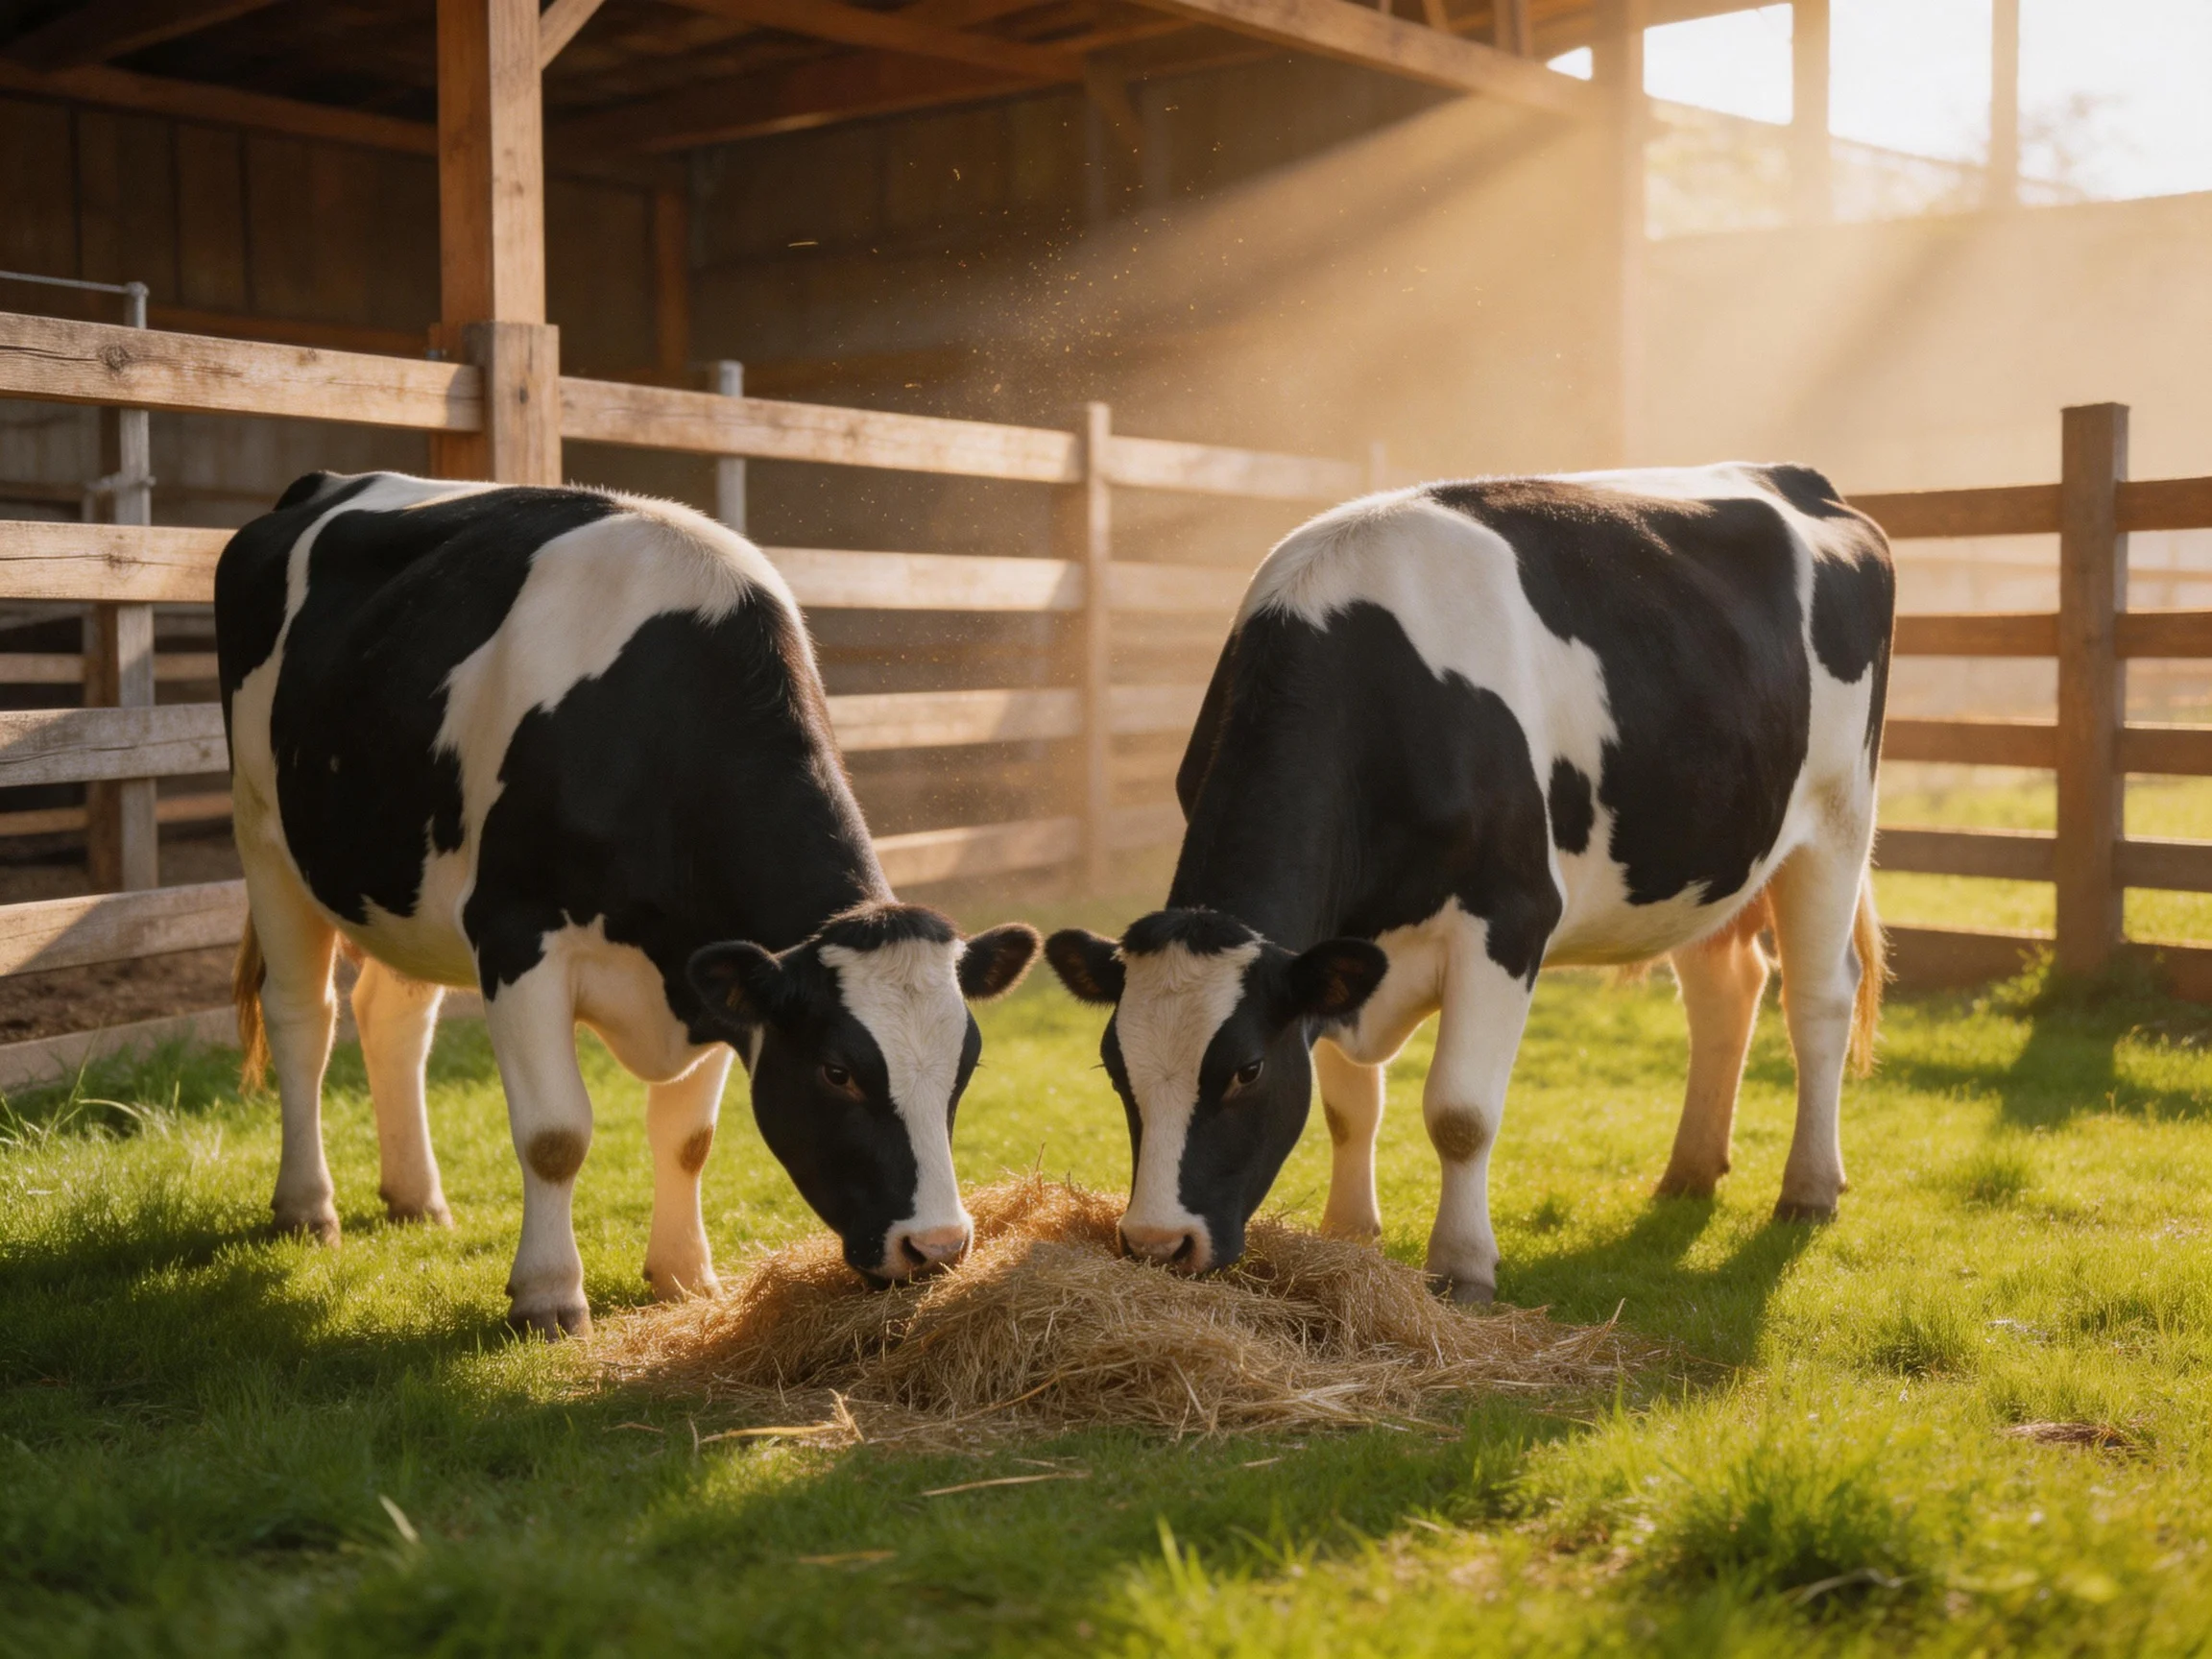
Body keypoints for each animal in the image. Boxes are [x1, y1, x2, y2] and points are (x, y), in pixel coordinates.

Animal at [216, 472, 1039, 1336]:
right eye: (837, 1071)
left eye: (966, 1065)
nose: (938, 1247)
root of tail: (330, 484)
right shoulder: (517, 936)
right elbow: (555, 1134)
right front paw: (548, 1296)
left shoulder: (707, 974)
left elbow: (689, 1138)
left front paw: (683, 1276)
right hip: (263, 833)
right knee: (303, 1018)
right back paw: (307, 1208)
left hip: (403, 878)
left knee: (392, 1020)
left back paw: (417, 1198)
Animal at [1044, 465, 1892, 1303]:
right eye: (1114, 1065)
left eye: (1246, 1069)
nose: (1158, 1243)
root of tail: (1794, 479)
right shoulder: (1338, 953)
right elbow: (1350, 1108)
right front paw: (1346, 1234)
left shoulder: (1508, 918)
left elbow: (1459, 1113)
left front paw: (1461, 1267)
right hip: (1705, 853)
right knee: (1726, 989)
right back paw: (1689, 1171)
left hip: (1836, 818)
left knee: (1817, 1001)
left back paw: (1809, 1189)